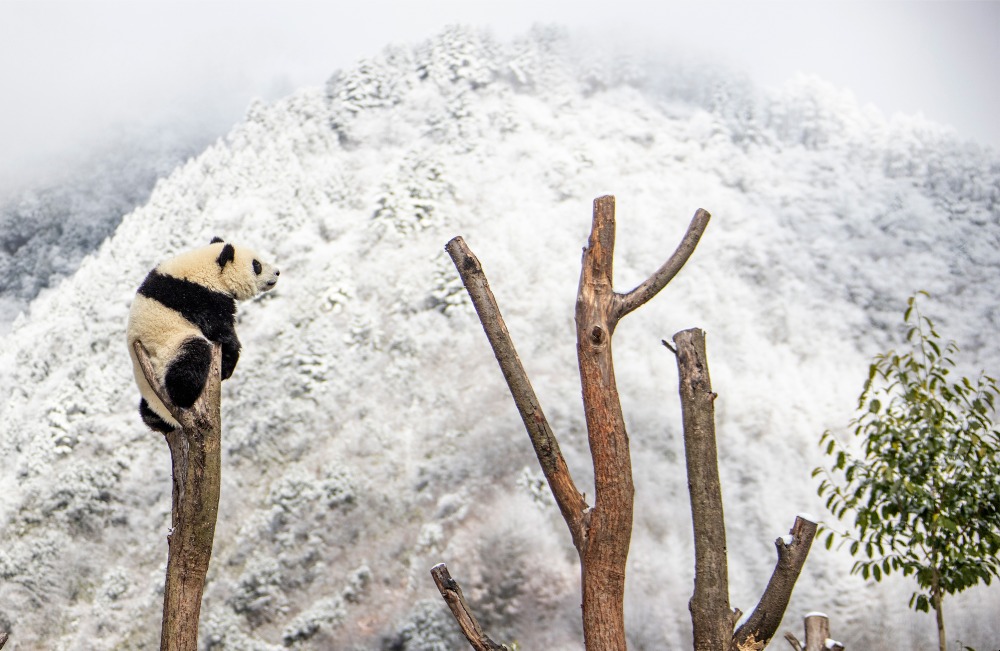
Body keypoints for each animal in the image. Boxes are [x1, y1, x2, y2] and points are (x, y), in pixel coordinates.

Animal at [128, 238, 282, 432]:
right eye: (257, 265)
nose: (277, 272)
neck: (207, 270)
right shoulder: (199, 298)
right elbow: (219, 329)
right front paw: (229, 361)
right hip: (167, 348)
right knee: (191, 357)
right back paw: (184, 396)